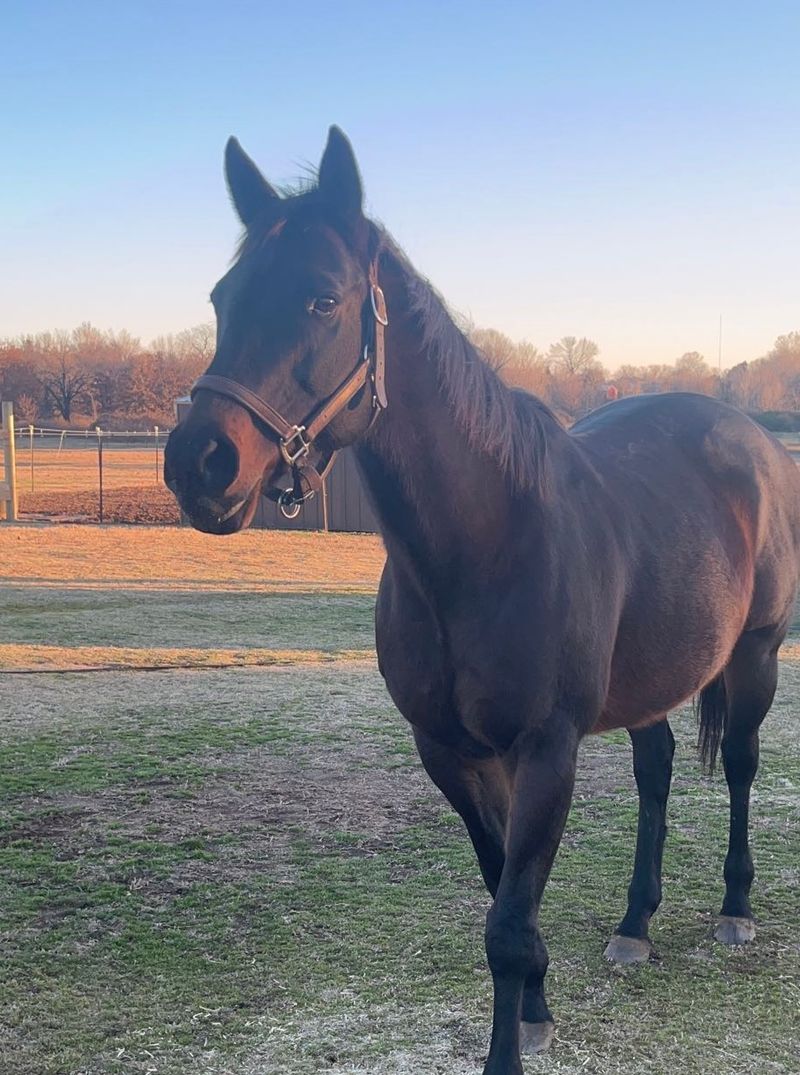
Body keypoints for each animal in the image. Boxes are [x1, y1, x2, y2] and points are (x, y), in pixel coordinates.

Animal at [164, 127, 800, 1075]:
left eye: (322, 298)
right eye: (221, 298)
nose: (200, 462)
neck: (484, 547)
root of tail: (751, 439)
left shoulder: (546, 750)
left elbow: (508, 919)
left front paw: (517, 1034)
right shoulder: (452, 753)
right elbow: (502, 892)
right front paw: (535, 1005)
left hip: (755, 657)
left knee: (743, 767)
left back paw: (735, 909)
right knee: (655, 775)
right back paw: (634, 924)